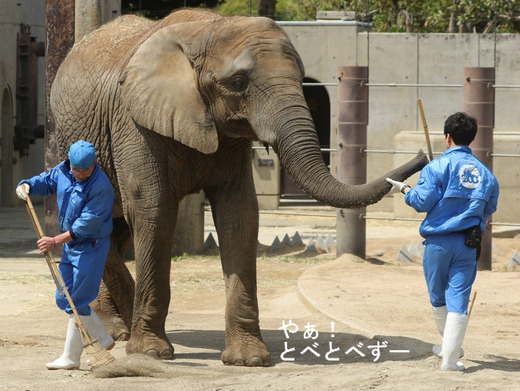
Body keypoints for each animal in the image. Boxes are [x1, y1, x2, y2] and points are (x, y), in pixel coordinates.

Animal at [48, 6, 426, 368]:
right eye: (239, 82)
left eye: (301, 79)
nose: (423, 155)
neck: (207, 30)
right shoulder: (134, 122)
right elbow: (152, 208)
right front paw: (151, 352)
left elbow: (240, 213)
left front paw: (249, 359)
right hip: (69, 140)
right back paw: (116, 331)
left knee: (113, 231)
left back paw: (118, 326)